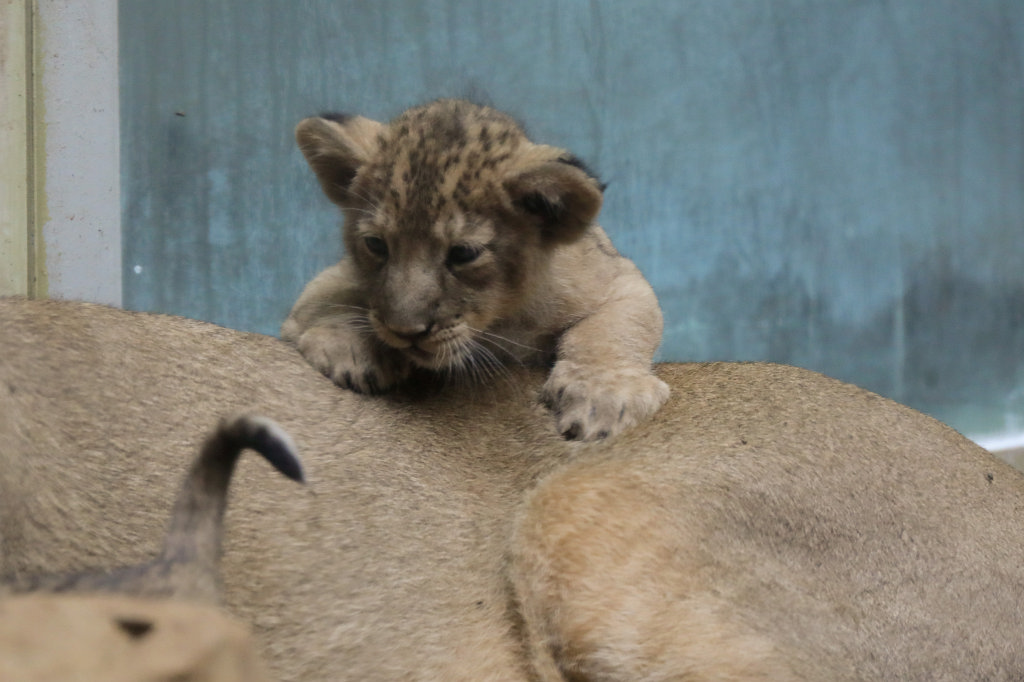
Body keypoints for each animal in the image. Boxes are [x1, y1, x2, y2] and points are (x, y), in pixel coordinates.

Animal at [282, 99, 668, 441]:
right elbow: (331, 298)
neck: (501, 318)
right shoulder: (334, 277)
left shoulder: (619, 278)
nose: (405, 331)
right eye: (376, 245)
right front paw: (353, 352)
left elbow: (612, 326)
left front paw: (603, 398)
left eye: (463, 253)